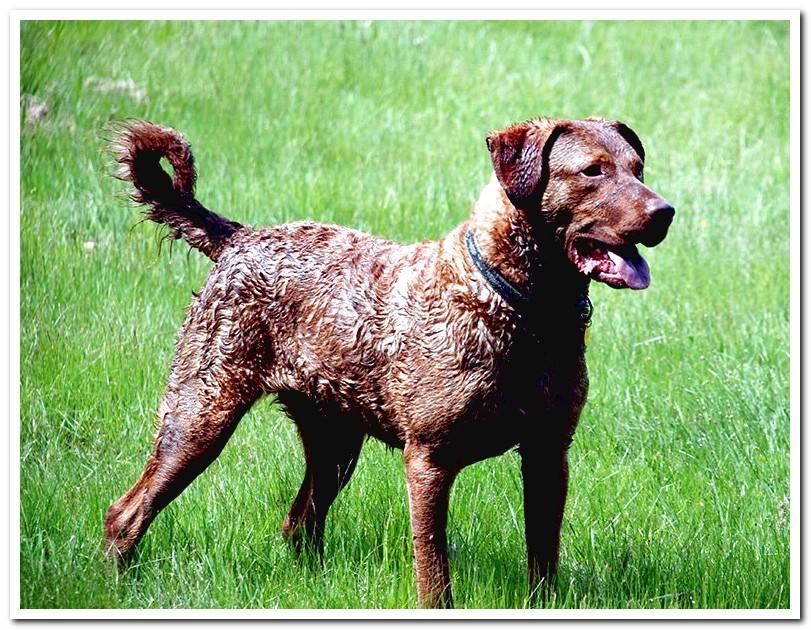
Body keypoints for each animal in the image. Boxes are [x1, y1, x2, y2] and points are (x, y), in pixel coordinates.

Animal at [103, 117, 672, 608]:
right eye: (593, 170)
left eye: (638, 167)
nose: (664, 212)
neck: (516, 308)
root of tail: (238, 238)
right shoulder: (429, 460)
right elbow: (434, 573)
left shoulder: (549, 452)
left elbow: (543, 560)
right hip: (200, 414)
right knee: (125, 513)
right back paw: (116, 585)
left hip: (334, 442)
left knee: (299, 523)